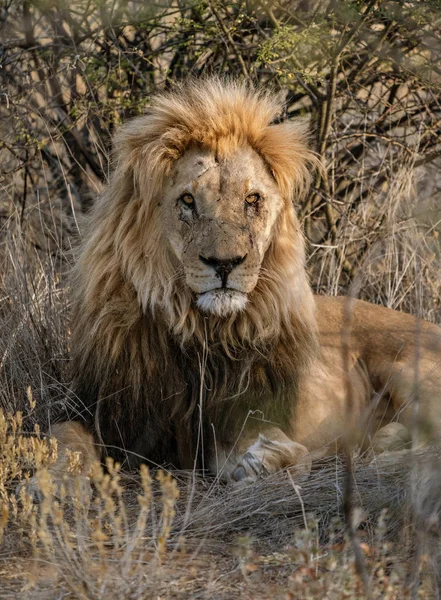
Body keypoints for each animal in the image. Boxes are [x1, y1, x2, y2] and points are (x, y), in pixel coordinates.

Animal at [48, 77, 440, 488]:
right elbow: (64, 437)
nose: (225, 264)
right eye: (187, 200)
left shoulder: (242, 411)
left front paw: (262, 463)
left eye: (252, 199)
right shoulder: (102, 408)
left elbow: (279, 451)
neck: (196, 329)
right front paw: (56, 482)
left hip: (408, 369)